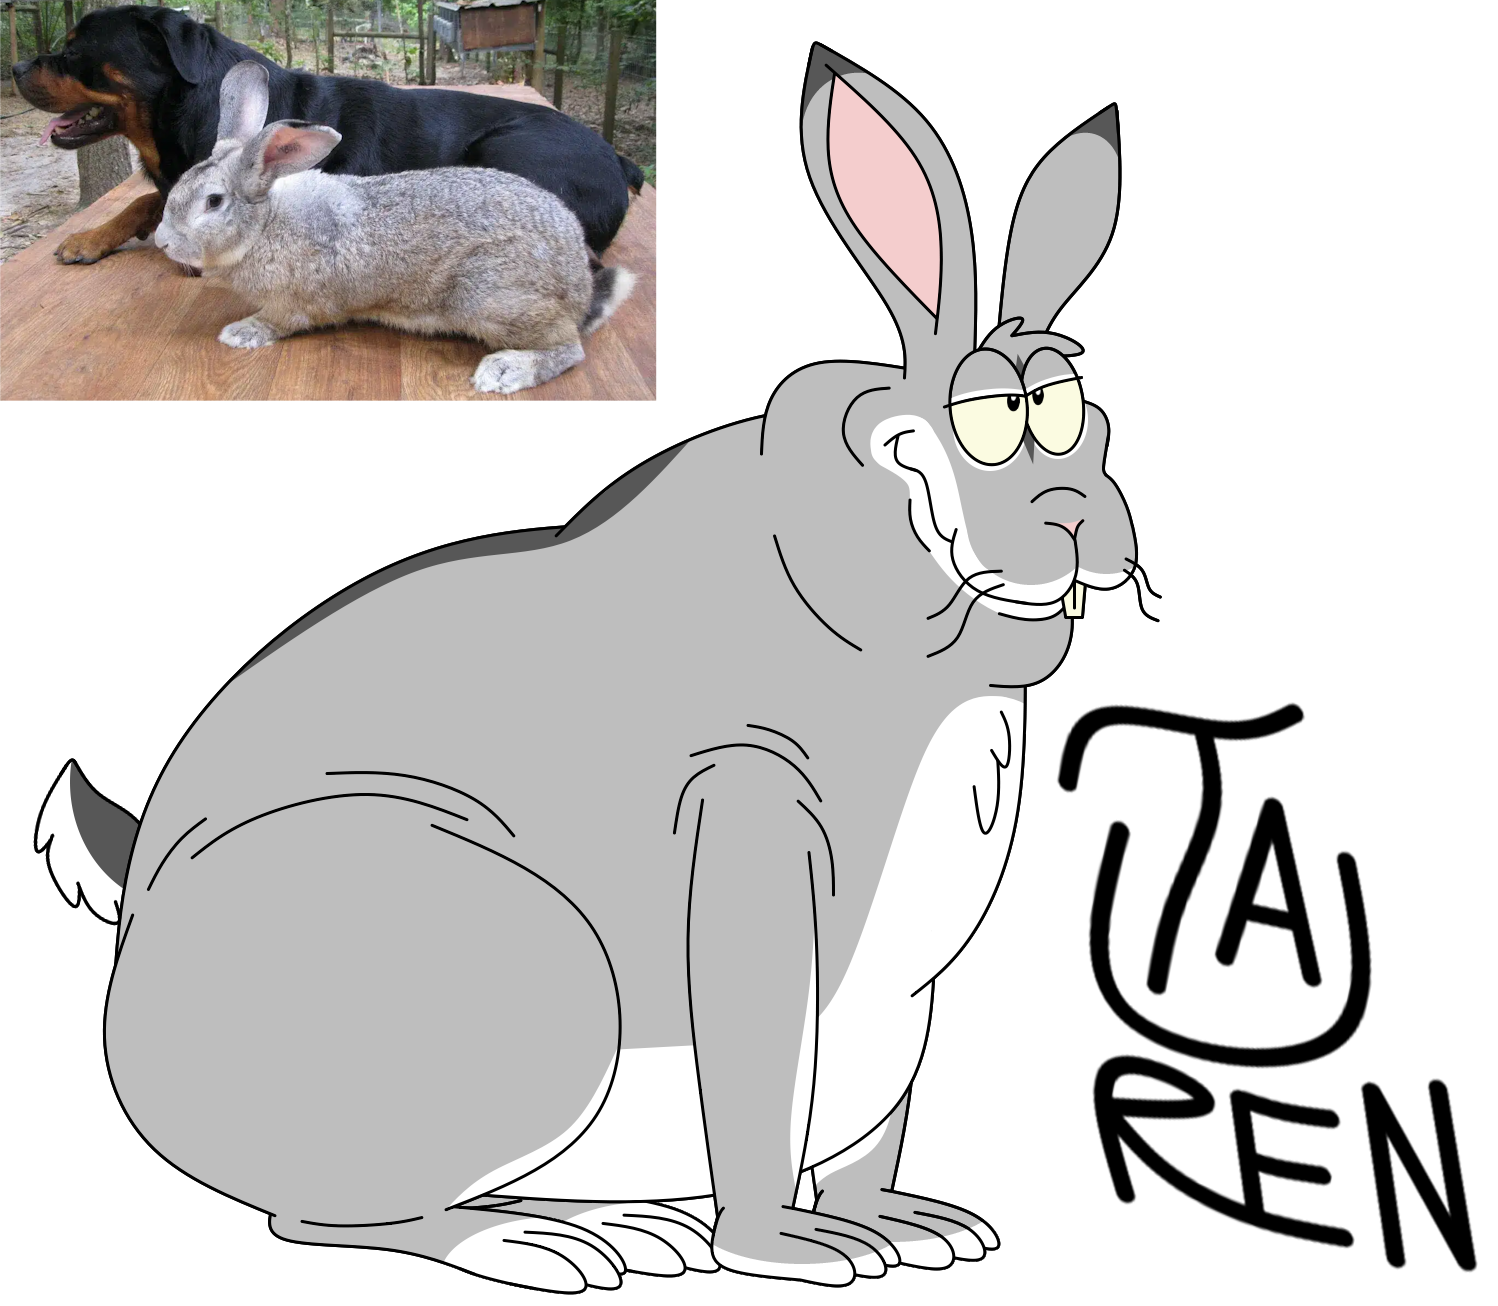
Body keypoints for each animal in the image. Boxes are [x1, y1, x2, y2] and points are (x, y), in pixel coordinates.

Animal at [153, 61, 635, 395]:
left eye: (213, 202)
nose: (161, 242)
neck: (266, 224)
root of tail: (579, 286)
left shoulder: (293, 304)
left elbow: (278, 321)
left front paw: (240, 333)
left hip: (489, 296)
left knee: (568, 348)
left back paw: (505, 371)